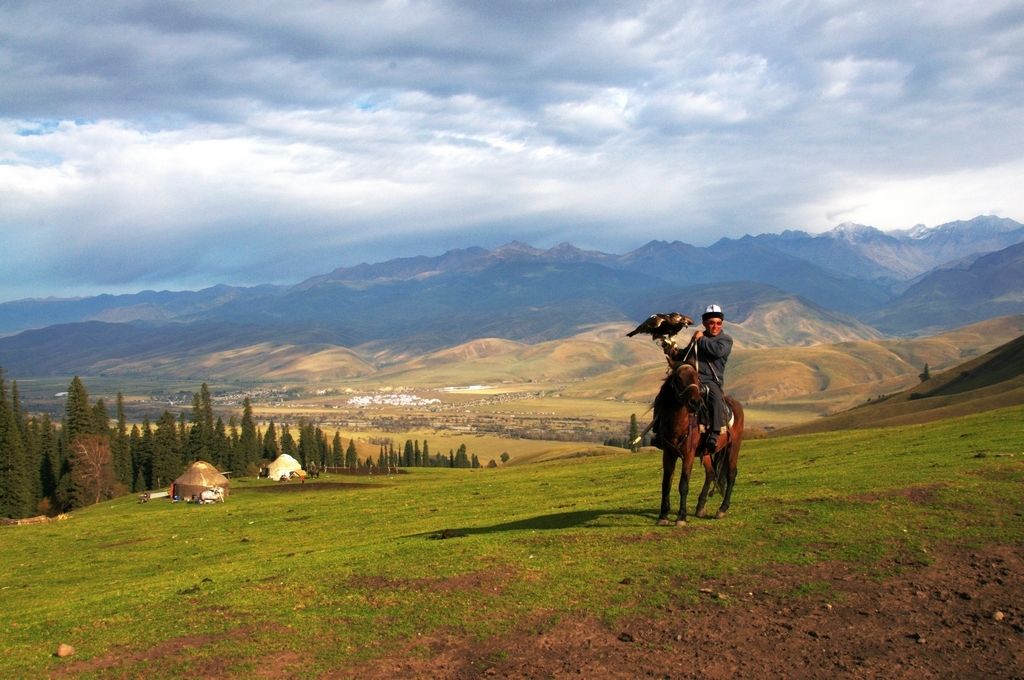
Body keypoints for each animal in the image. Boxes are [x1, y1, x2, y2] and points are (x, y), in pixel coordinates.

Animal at [655, 356, 745, 524]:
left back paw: (722, 509)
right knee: (710, 473)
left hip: (733, 446)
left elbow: (683, 484)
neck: (678, 424)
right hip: (707, 451)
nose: (695, 402)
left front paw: (681, 517)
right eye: (678, 378)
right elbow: (666, 483)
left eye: (697, 377)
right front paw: (663, 515)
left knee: (731, 474)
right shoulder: (668, 454)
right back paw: (700, 507)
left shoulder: (688, 454)